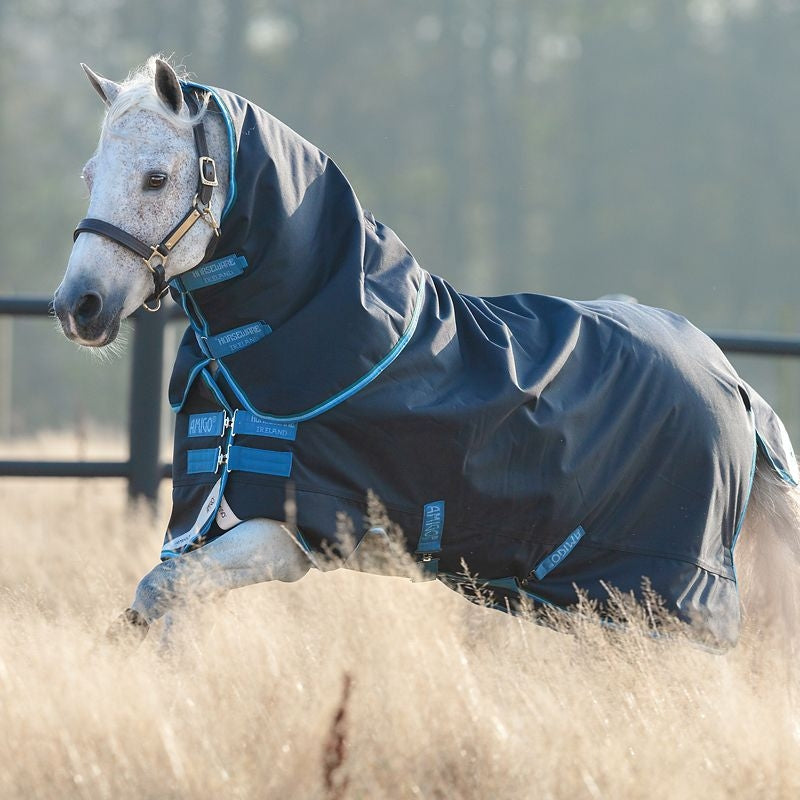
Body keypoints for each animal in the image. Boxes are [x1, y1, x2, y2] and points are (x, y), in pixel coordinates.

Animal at [54, 57, 800, 651]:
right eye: (90, 174)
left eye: (156, 178)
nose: (78, 306)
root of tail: (733, 384)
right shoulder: (205, 521)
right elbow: (171, 605)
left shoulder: (292, 534)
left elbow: (158, 592)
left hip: (659, 598)